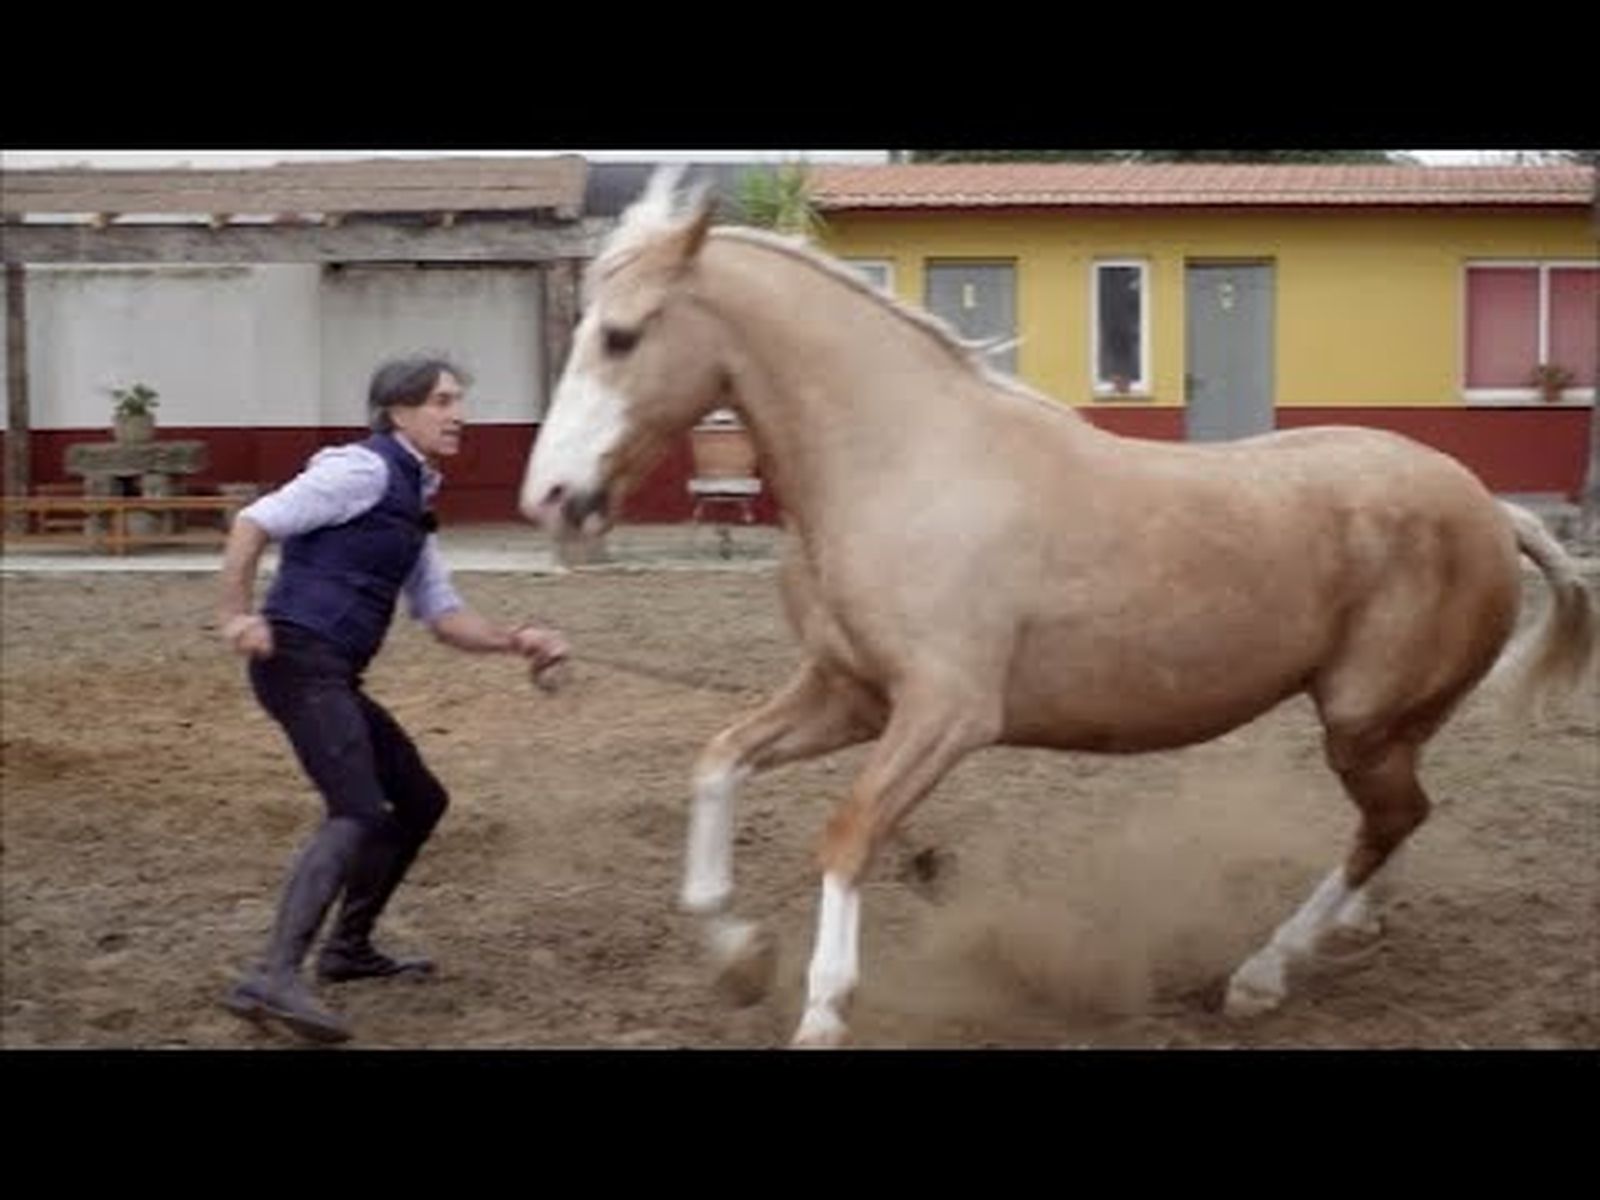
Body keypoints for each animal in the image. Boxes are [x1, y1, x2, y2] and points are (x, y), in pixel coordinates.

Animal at [520, 169, 1598, 1047]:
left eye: (620, 336)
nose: (551, 498)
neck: (905, 464)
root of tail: (1490, 509)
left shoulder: (945, 714)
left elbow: (849, 831)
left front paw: (822, 1009)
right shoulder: (848, 694)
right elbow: (718, 763)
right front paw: (739, 955)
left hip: (1361, 721)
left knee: (1392, 820)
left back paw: (1261, 975)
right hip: (1386, 726)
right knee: (1393, 825)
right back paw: (1343, 932)